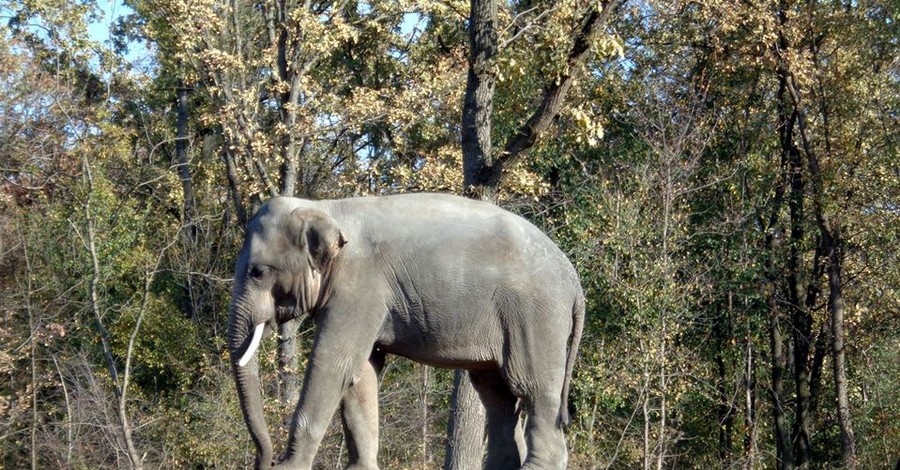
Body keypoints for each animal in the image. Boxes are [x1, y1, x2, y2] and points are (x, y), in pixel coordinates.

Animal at [225, 193, 588, 468]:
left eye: (258, 272)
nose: (266, 461)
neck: (327, 208)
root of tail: (574, 280)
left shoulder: (360, 287)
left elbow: (334, 364)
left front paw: (290, 467)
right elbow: (361, 373)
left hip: (537, 316)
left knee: (534, 390)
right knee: (498, 396)